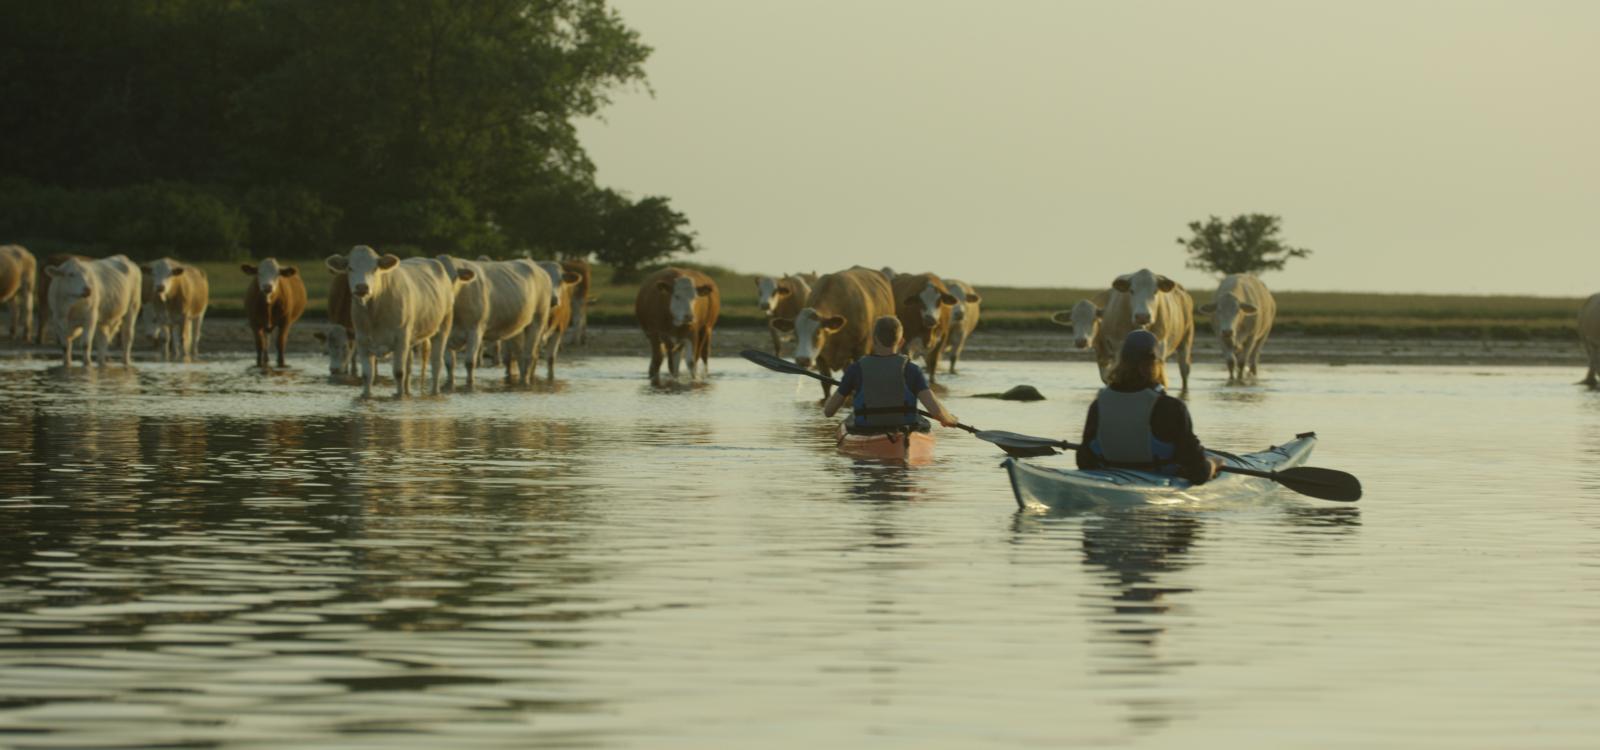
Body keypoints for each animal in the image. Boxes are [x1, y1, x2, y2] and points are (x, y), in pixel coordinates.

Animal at [327, 246, 464, 398]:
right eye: (350, 268)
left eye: (375, 268)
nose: (362, 287)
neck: (374, 311)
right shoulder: (362, 340)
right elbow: (367, 375)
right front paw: (366, 396)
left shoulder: (401, 339)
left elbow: (399, 372)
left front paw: (399, 396)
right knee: (409, 366)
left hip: (443, 327)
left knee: (436, 363)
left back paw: (434, 392)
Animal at [436, 254, 550, 389]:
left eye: (455, 278)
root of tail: (538, 268)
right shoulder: (447, 334)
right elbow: (449, 363)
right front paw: (449, 384)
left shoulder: (475, 329)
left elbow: (470, 362)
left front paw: (470, 385)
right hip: (518, 326)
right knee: (520, 355)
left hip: (538, 319)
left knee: (529, 355)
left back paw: (525, 381)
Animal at [770, 266, 894, 397]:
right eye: (795, 333)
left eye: (818, 332)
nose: (802, 359)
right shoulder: (820, 358)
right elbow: (826, 383)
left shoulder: (861, 350)